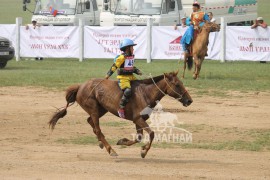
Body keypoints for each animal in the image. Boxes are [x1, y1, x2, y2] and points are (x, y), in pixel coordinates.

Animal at [48, 71, 192, 158]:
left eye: (181, 83)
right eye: (177, 85)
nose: (189, 100)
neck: (145, 93)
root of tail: (80, 86)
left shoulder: (138, 120)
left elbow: (139, 137)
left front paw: (123, 141)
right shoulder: (138, 119)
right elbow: (151, 134)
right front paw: (144, 151)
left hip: (102, 109)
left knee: (91, 122)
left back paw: (101, 143)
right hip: (94, 109)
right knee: (97, 128)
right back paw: (110, 150)